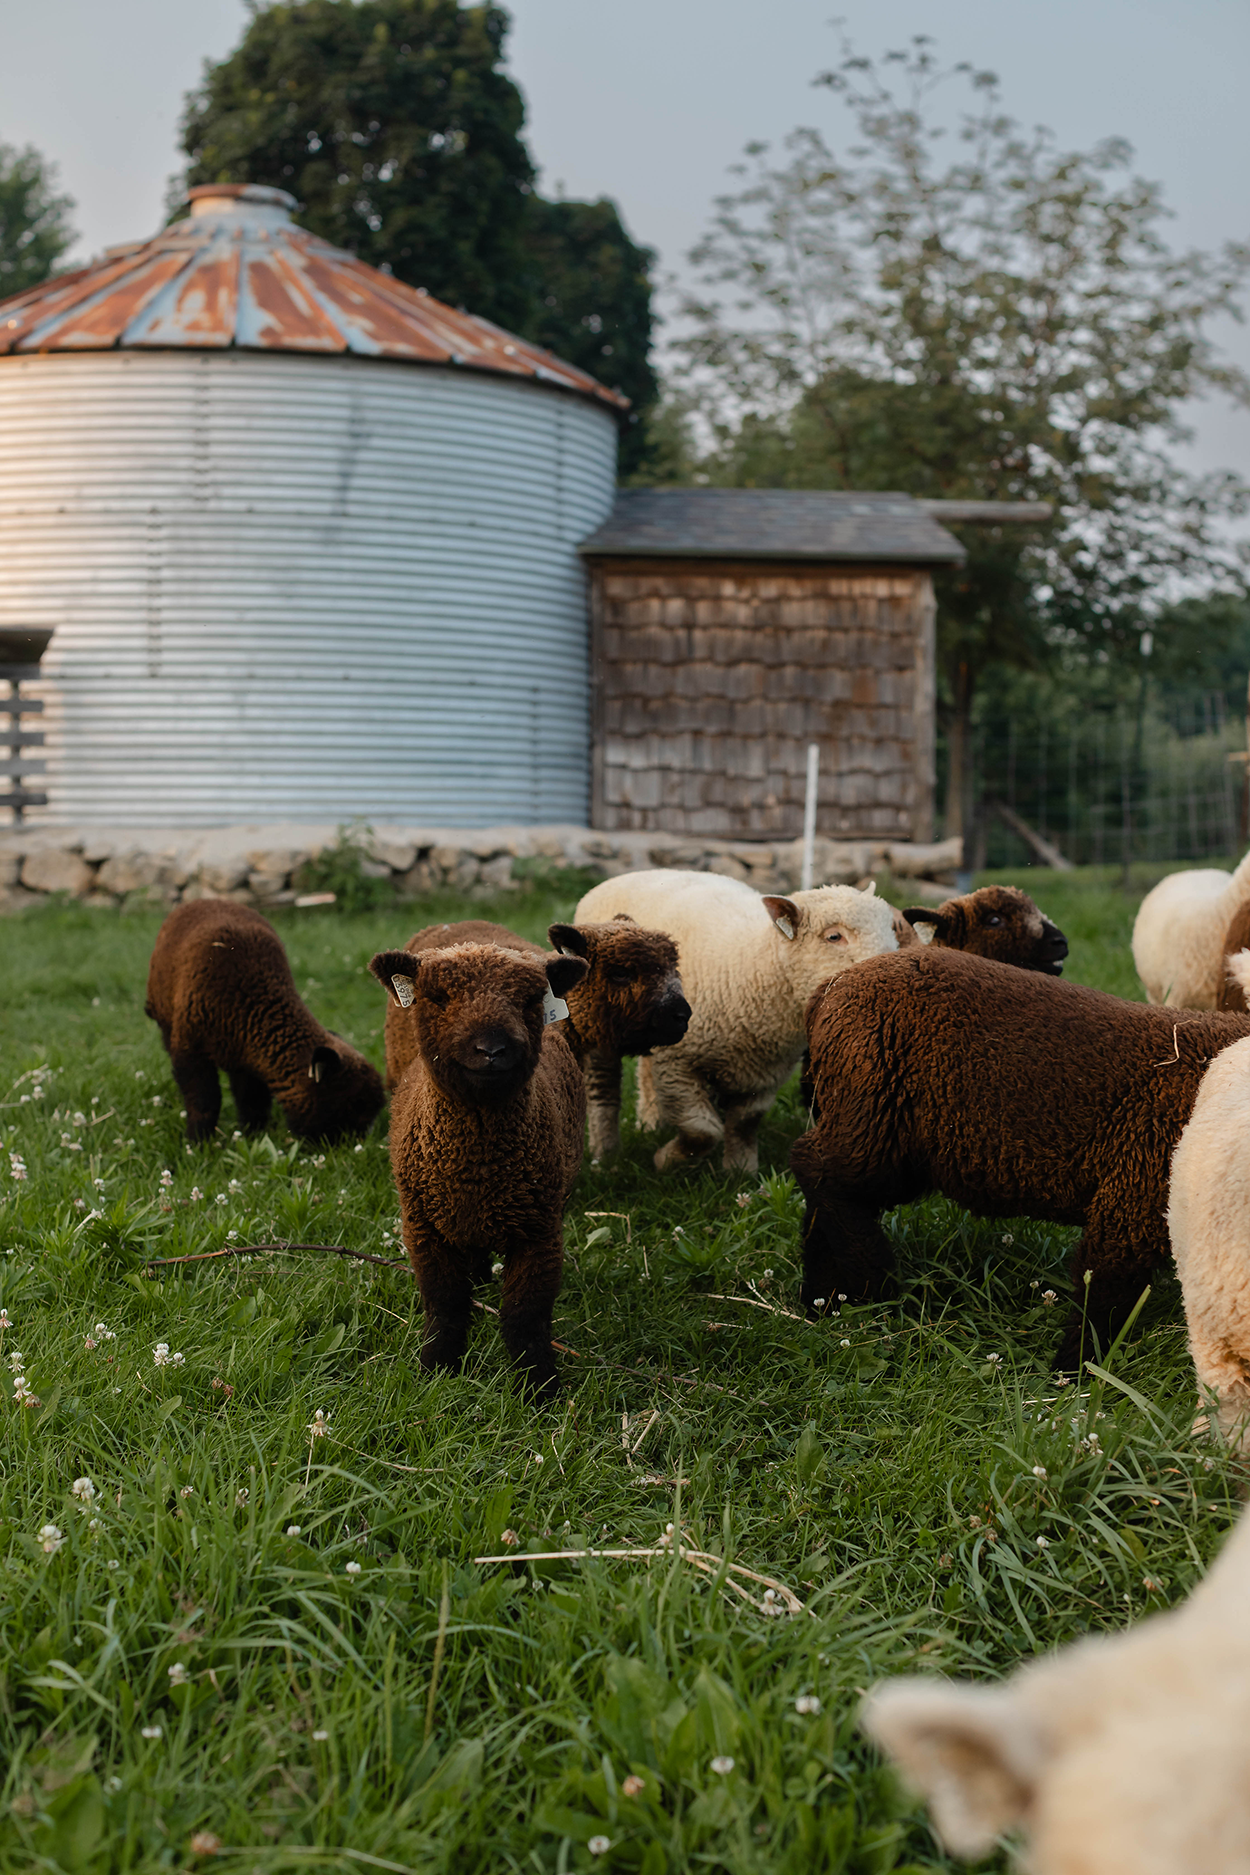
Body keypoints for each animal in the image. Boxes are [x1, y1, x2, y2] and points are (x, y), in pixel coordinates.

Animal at [145, 900, 384, 1145]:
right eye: (351, 1105)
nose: (358, 1146)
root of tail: (204, 901)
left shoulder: (247, 1059)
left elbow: (252, 1101)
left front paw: (253, 1136)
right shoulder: (191, 1051)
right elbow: (203, 1102)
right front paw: (198, 1141)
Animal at [369, 940, 588, 1397]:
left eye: (530, 1000)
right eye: (437, 997)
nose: (491, 1050)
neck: (475, 1170)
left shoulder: (540, 1232)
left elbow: (525, 1314)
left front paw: (538, 1387)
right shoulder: (423, 1229)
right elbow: (445, 1304)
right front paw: (437, 1371)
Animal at [574, 869, 896, 1173]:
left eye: (892, 932)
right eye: (833, 937)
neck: (754, 967)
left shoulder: (765, 1074)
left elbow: (744, 1123)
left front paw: (740, 1169)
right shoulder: (678, 1064)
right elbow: (702, 1131)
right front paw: (667, 1161)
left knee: (644, 1074)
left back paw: (650, 1123)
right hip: (600, 1022)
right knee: (604, 1089)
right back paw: (605, 1154)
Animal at [791, 946, 1250, 1368]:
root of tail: (829, 989)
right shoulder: (1134, 1195)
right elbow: (1103, 1292)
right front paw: (1071, 1373)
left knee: (823, 1192)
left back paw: (822, 1300)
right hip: (873, 1116)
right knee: (815, 1170)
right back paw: (874, 1280)